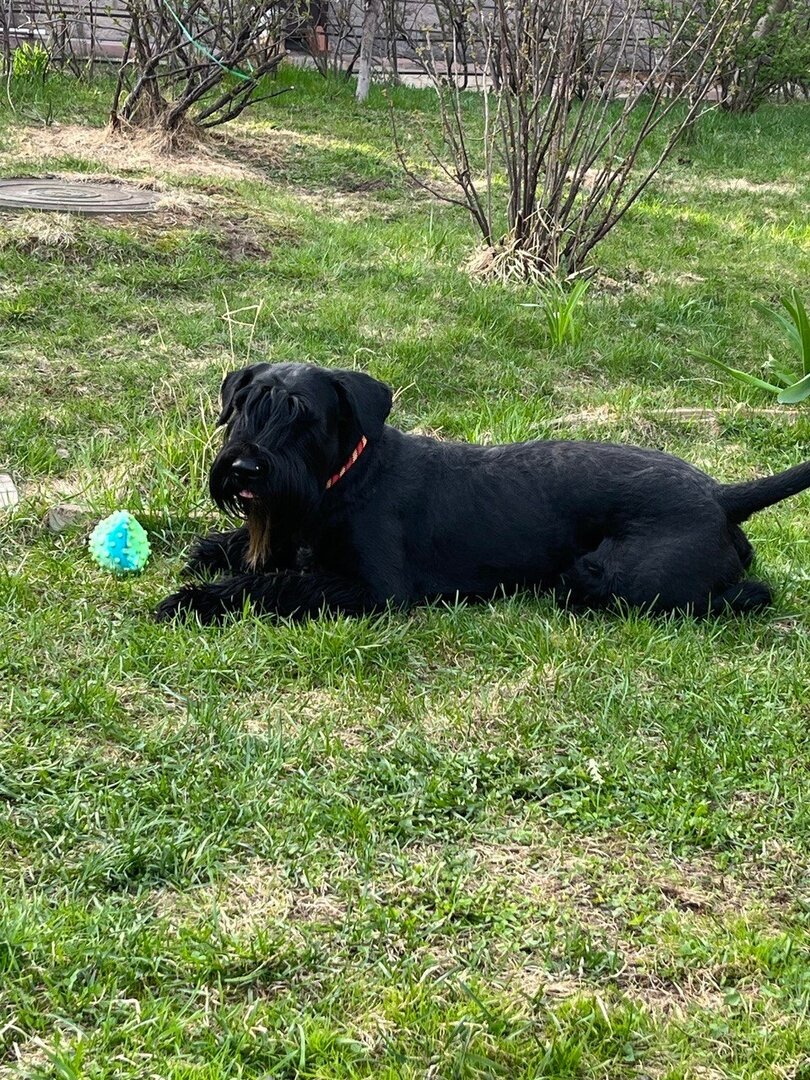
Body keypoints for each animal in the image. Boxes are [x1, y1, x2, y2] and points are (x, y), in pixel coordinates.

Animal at [155, 360, 810, 626]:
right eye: (243, 405)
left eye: (303, 418)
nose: (243, 469)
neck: (344, 479)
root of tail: (721, 496)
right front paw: (208, 550)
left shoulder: (373, 591)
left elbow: (276, 582)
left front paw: (194, 600)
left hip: (608, 576)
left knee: (740, 595)